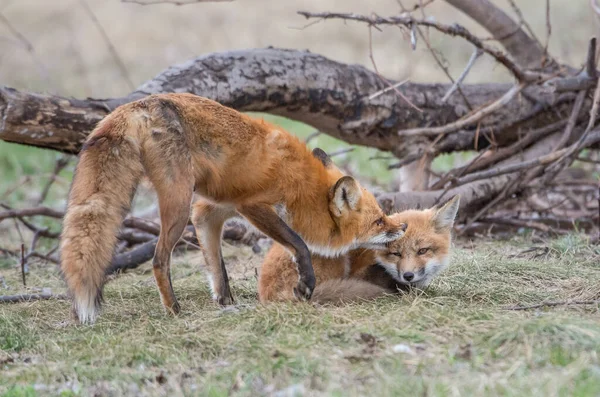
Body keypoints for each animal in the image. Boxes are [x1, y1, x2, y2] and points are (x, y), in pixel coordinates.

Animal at [59, 94, 404, 324]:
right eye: (378, 221)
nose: (402, 228)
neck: (304, 186)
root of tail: (142, 103)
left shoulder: (212, 210)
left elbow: (217, 267)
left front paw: (226, 303)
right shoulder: (254, 206)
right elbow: (300, 245)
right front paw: (305, 284)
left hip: (186, 204)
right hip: (178, 202)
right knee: (159, 260)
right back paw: (173, 310)